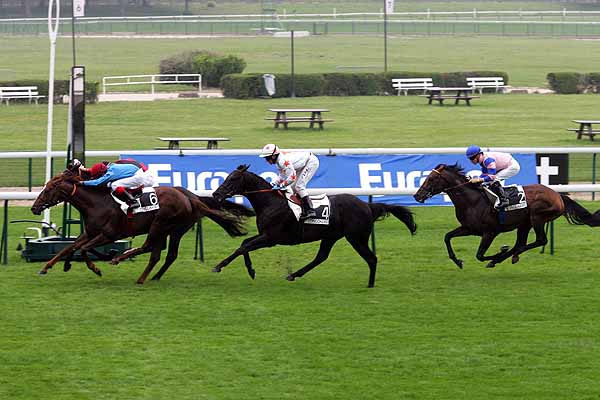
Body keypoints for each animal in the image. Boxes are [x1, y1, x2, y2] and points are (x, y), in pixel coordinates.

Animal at [31, 167, 251, 282]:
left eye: (48, 189)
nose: (34, 208)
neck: (97, 203)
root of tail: (190, 197)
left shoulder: (108, 234)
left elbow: (84, 249)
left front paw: (98, 266)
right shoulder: (90, 232)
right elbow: (69, 247)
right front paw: (48, 267)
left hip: (160, 225)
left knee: (150, 248)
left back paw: (125, 263)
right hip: (174, 230)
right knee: (164, 254)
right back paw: (150, 276)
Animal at [212, 165, 418, 288]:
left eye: (232, 179)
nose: (215, 194)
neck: (271, 202)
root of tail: (367, 205)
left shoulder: (271, 238)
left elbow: (243, 247)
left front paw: (219, 266)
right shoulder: (266, 236)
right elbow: (244, 244)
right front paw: (251, 270)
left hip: (356, 238)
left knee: (372, 259)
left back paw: (370, 284)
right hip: (331, 236)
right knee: (321, 257)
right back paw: (293, 275)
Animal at [412, 162, 600, 268]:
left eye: (431, 179)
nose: (417, 196)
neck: (472, 200)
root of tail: (558, 195)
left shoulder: (490, 232)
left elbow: (480, 255)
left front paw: (497, 253)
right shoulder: (469, 228)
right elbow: (447, 237)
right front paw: (458, 261)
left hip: (537, 217)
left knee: (540, 241)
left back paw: (505, 256)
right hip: (524, 224)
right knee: (521, 243)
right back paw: (510, 256)